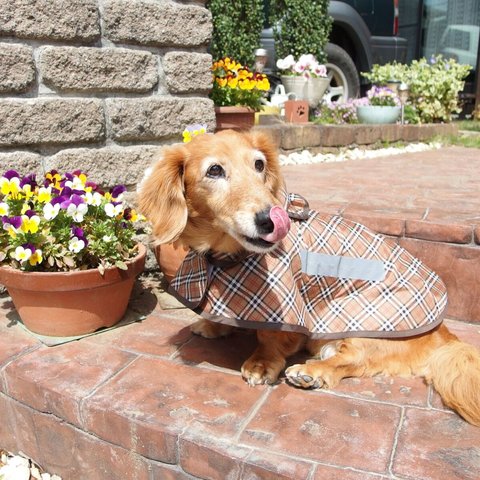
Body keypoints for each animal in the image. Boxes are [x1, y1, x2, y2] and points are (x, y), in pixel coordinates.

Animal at [138, 129, 480, 426]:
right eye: (214, 170)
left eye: (259, 164)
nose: (271, 219)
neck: (226, 254)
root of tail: (444, 336)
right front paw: (211, 326)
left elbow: (271, 337)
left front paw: (262, 363)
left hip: (357, 316)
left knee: (352, 359)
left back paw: (310, 372)